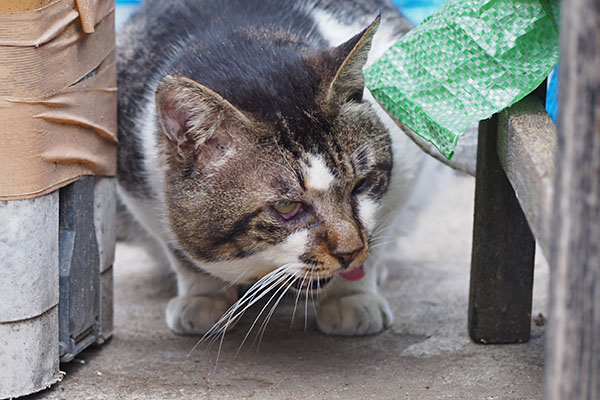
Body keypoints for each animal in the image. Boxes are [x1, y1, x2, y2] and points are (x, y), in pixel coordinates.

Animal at [117, 0, 424, 338]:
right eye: (286, 207)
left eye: (361, 185)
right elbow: (180, 251)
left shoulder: (407, 170)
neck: (238, 39)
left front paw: (351, 297)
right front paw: (204, 298)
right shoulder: (138, 186)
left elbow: (380, 230)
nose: (349, 252)